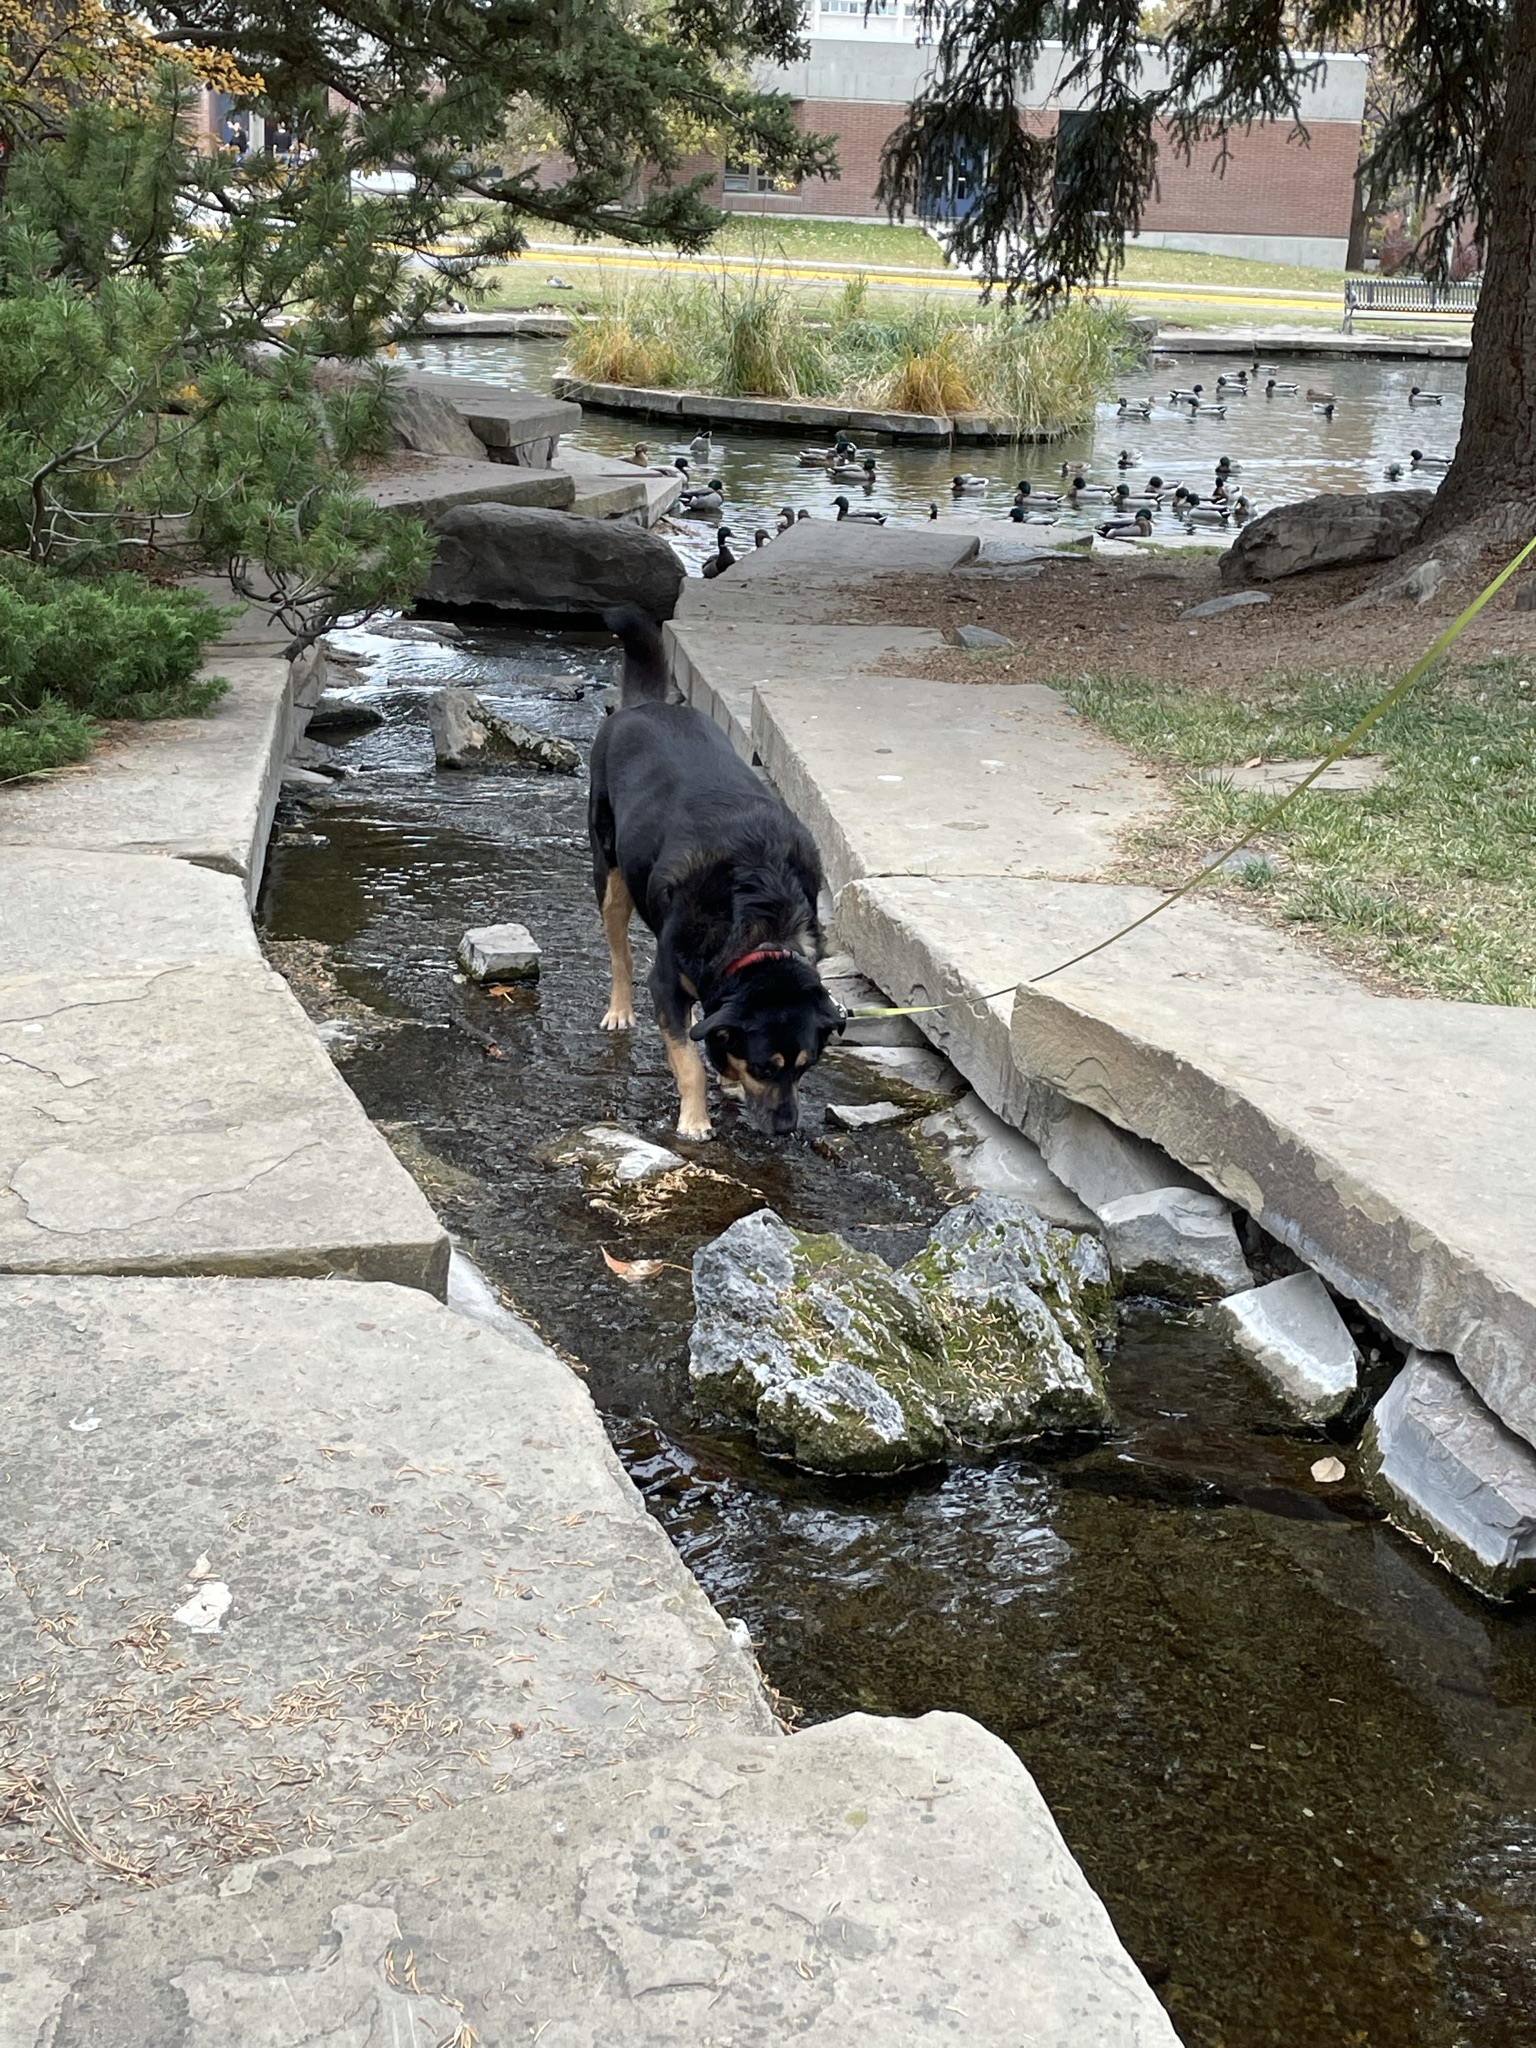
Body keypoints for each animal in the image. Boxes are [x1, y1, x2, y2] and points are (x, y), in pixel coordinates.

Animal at [593, 606, 847, 1146]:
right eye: (766, 1066)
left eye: (806, 1067)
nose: (785, 1130)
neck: (761, 923)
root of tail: (648, 705)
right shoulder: (666, 986)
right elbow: (689, 1060)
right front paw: (695, 1119)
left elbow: (710, 1037)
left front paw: (726, 1078)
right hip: (610, 874)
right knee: (620, 954)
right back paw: (620, 1009)